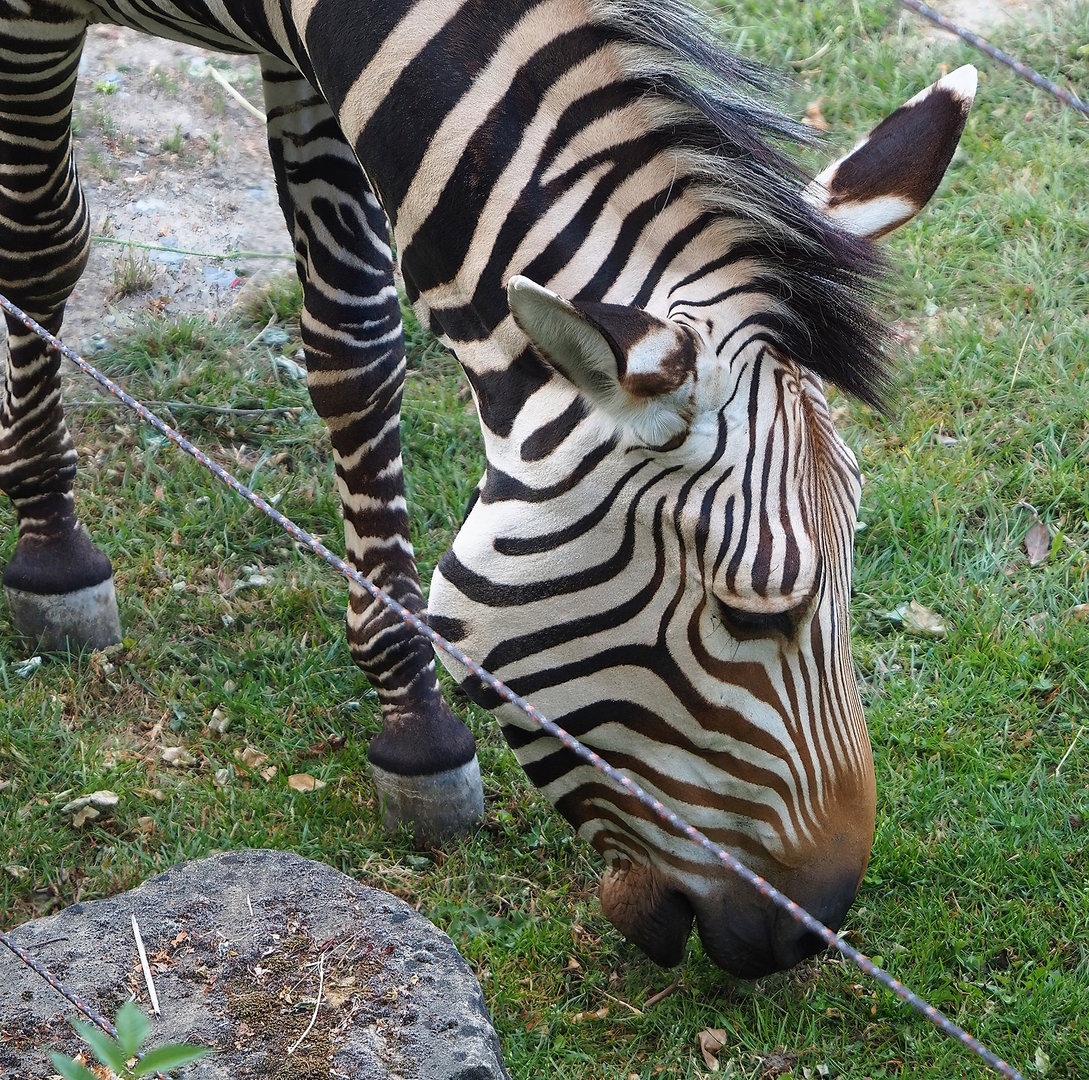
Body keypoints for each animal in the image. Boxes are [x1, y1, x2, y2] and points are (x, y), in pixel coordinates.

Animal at [0, 0, 974, 976]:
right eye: (748, 616)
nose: (817, 927)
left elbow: (354, 334)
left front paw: (411, 719)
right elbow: (41, 242)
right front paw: (51, 548)